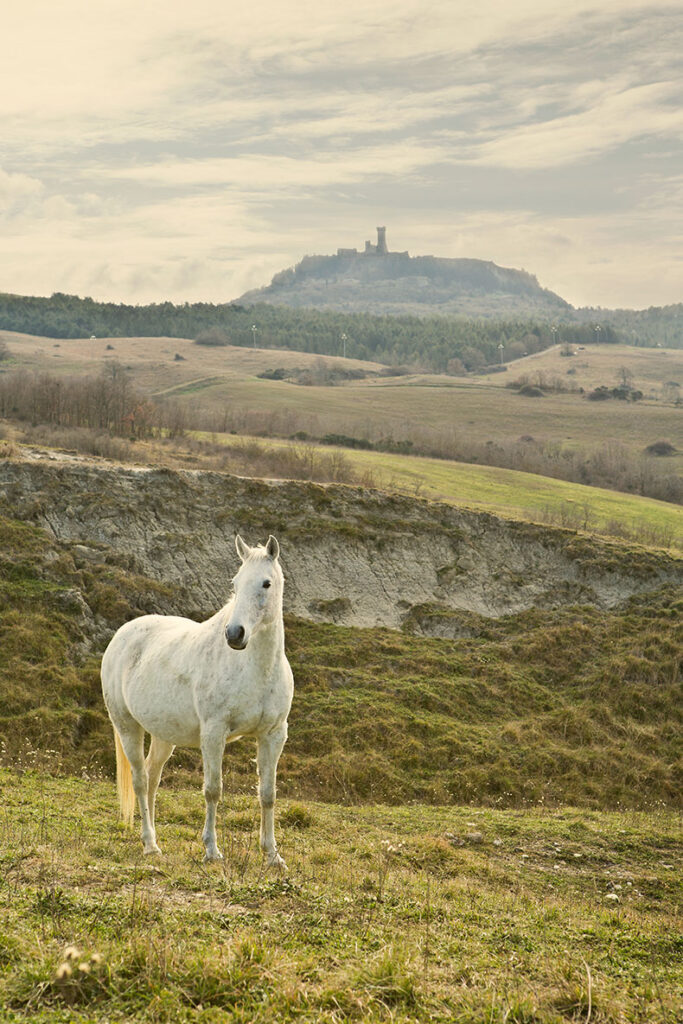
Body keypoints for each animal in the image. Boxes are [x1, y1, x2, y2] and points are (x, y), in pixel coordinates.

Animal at [100, 536, 292, 864]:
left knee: (152, 778)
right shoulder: (214, 733)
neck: (256, 668)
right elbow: (213, 790)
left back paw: (155, 839)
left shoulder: (273, 734)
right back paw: (150, 844)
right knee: (140, 780)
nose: (235, 634)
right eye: (235, 582)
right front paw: (212, 851)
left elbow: (268, 793)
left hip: (163, 736)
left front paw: (272, 855)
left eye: (266, 583)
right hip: (127, 728)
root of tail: (122, 635)